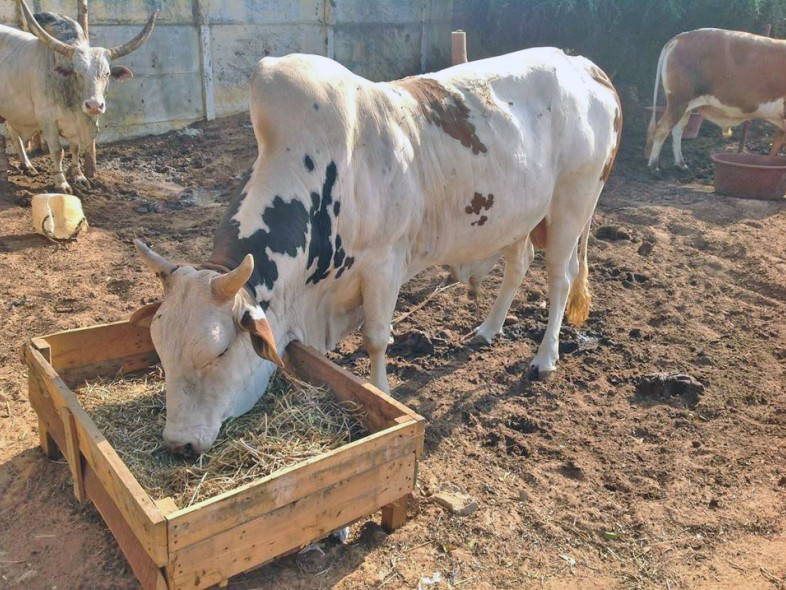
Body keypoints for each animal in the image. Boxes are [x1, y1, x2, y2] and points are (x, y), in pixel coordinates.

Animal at [0, 0, 156, 193]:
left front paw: (78, 175)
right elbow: (57, 151)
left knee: (14, 133)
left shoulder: (76, 126)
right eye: (77, 72)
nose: (94, 105)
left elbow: (74, 149)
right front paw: (62, 183)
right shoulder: (47, 120)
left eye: (107, 73)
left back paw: (27, 165)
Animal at [132, 49, 620, 458]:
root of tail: (585, 66)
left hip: (572, 206)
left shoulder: (385, 265)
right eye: (159, 350)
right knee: (518, 266)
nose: (178, 443)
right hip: (518, 216)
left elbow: (376, 338)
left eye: (217, 353)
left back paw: (545, 358)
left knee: (559, 280)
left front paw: (381, 390)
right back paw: (488, 329)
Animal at [648, 27, 784, 171]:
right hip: (678, 101)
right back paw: (654, 166)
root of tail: (681, 36)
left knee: (677, 129)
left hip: (685, 105)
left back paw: (681, 164)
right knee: (662, 128)